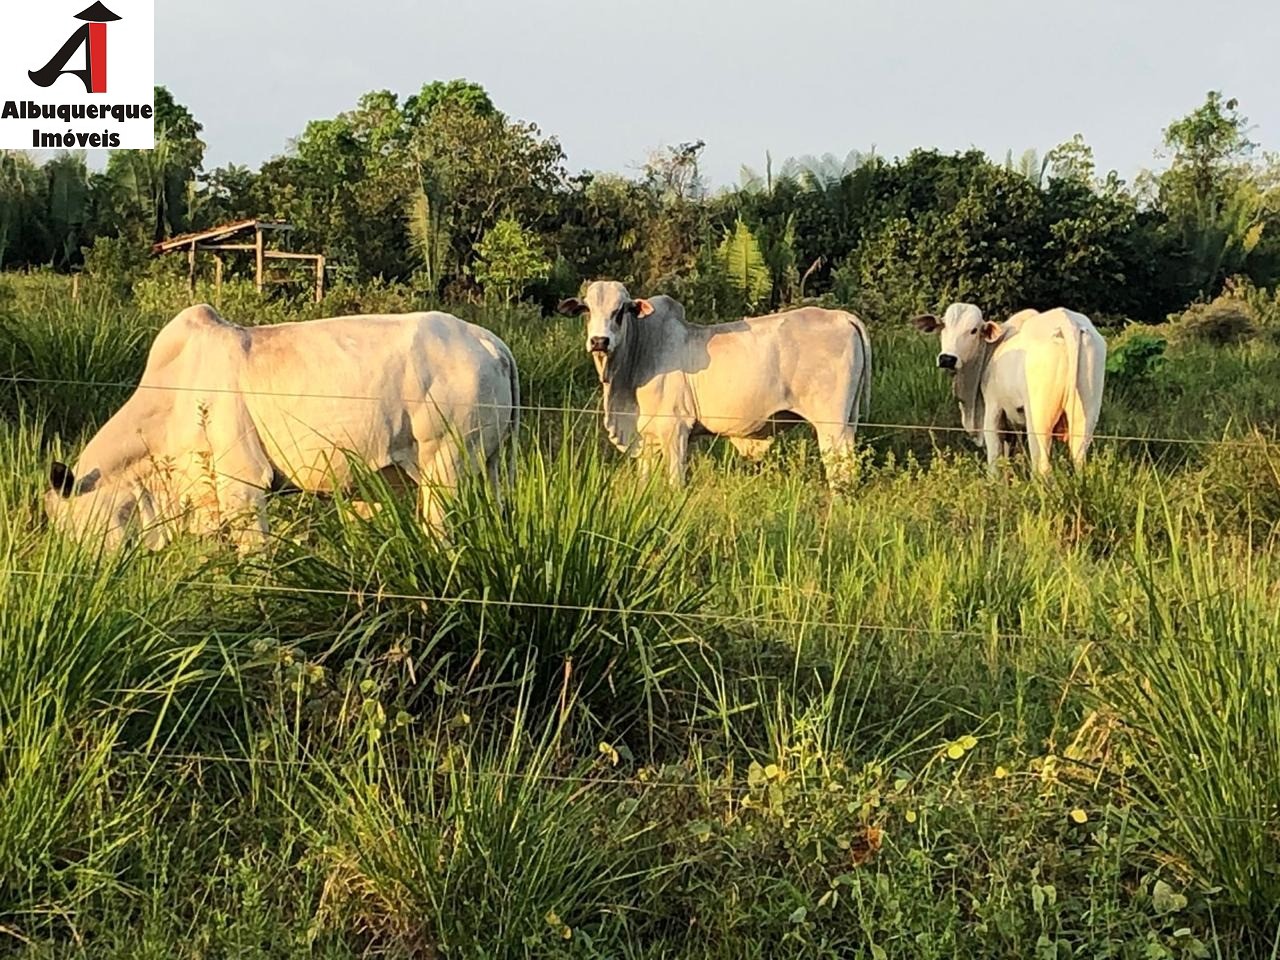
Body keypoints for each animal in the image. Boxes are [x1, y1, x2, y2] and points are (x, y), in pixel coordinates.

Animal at [555, 280, 875, 488]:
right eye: (587, 310)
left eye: (620, 311)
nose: (599, 341)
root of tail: (841, 316)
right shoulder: (647, 436)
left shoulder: (675, 430)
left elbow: (675, 483)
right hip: (848, 422)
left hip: (831, 425)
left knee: (841, 472)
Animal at [911, 304, 1111, 478]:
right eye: (943, 326)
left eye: (974, 330)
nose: (947, 359)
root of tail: (1068, 322)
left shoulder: (993, 408)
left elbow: (995, 458)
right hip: (1086, 415)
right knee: (1079, 460)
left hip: (1038, 419)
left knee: (1042, 466)